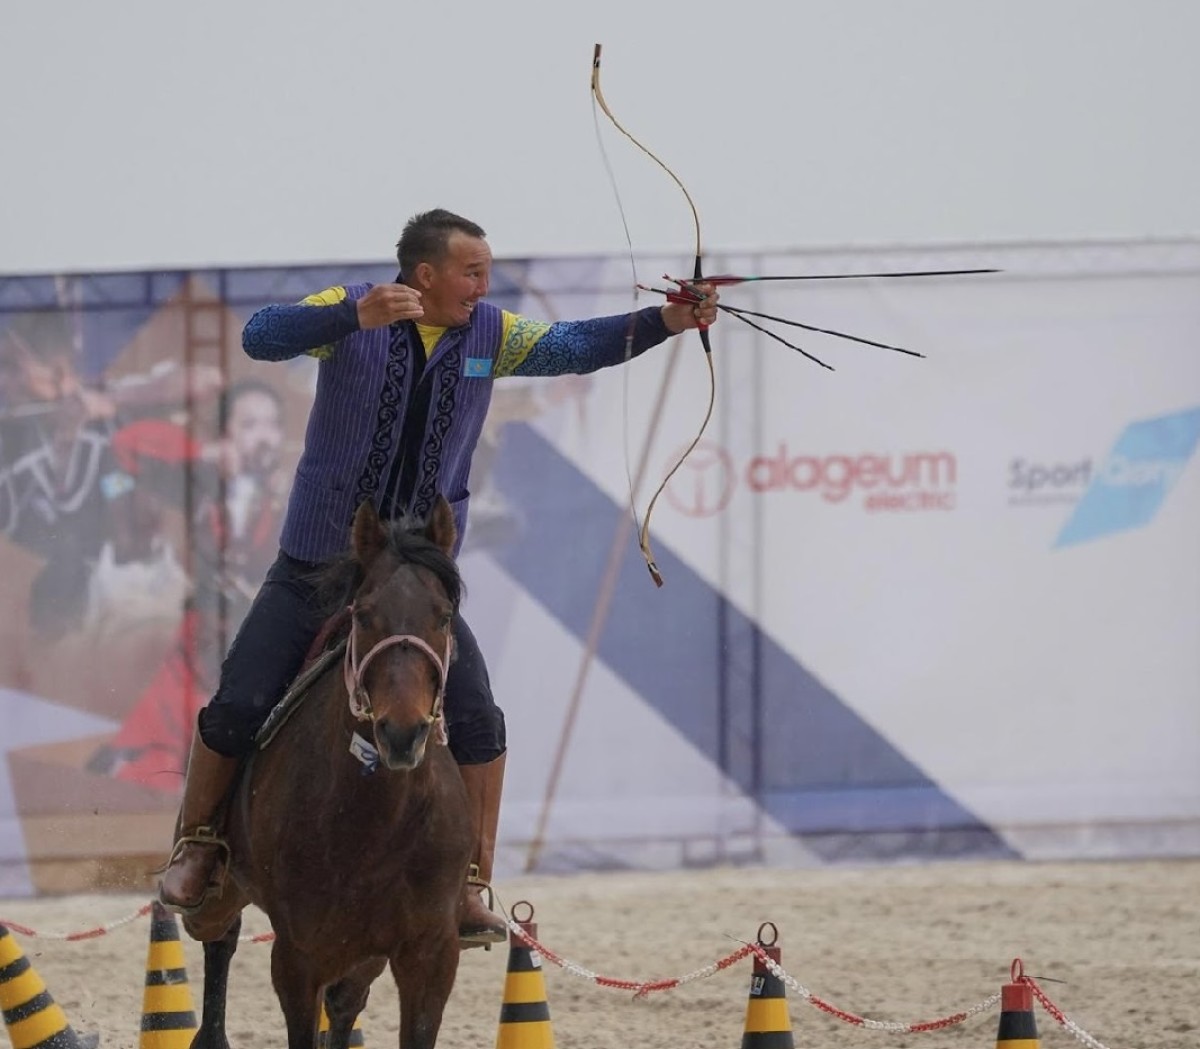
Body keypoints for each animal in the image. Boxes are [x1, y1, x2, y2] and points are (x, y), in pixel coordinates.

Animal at [182, 494, 472, 1046]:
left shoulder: (430, 956)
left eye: (445, 617)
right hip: (221, 895)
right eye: (364, 614)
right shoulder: (298, 956)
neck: (377, 822)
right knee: (219, 937)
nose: (401, 733)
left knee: (344, 1004)